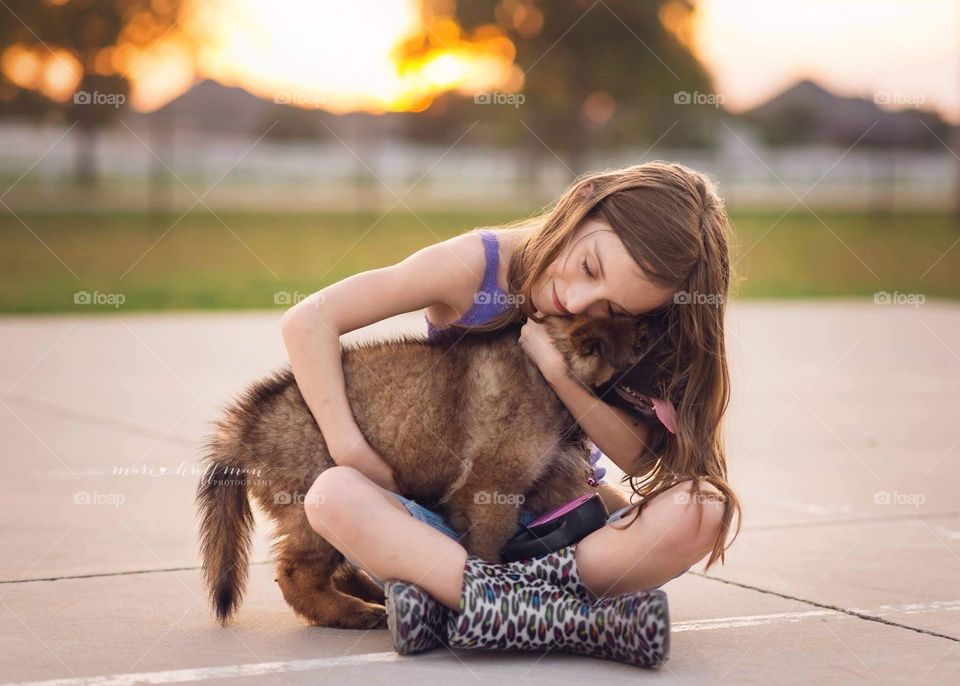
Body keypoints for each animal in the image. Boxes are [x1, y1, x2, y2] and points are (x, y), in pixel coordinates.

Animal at [195, 312, 672, 628]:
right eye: (645, 345)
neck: (551, 373)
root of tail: (246, 424)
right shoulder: (489, 488)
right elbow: (488, 550)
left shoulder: (552, 479)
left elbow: (593, 501)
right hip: (314, 492)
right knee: (297, 574)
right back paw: (353, 612)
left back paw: (372, 593)